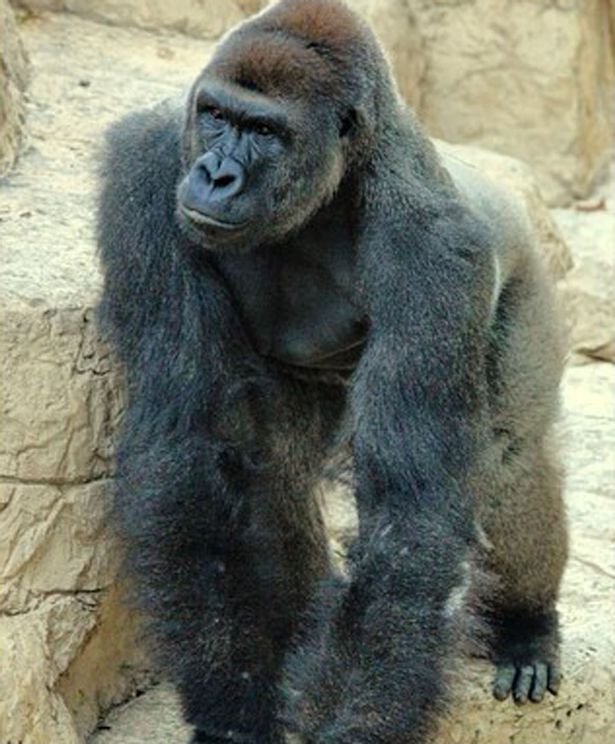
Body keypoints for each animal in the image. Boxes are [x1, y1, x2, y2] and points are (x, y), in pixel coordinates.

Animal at [96, 1, 568, 744]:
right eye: (217, 116)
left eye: (266, 132)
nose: (216, 175)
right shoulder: (149, 174)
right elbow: (190, 443)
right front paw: (233, 704)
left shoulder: (432, 247)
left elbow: (408, 503)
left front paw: (358, 721)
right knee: (277, 467)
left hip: (524, 276)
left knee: (509, 456)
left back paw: (525, 626)